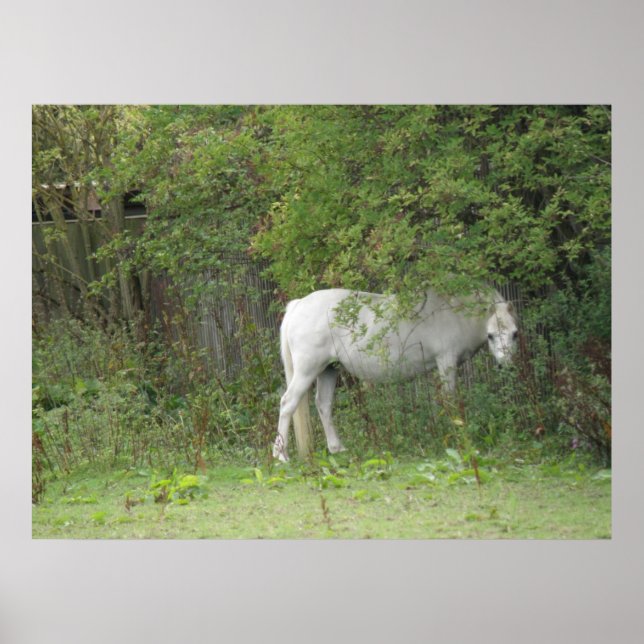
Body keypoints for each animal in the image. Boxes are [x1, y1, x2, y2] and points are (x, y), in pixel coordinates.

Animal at [272, 288, 518, 461]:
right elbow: (450, 400)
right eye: (491, 335)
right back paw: (281, 455)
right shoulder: (446, 362)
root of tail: (298, 305)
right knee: (287, 403)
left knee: (323, 404)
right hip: (307, 370)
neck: (454, 311)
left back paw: (337, 449)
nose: (506, 366)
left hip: (328, 370)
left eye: (515, 334)